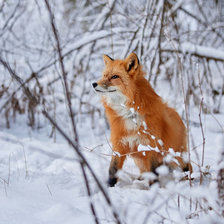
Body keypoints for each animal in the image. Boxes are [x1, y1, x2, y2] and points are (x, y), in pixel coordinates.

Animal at [92, 53, 192, 187]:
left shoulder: (151, 145)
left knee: (187, 167)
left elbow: (154, 172)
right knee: (145, 170)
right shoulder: (119, 143)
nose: (94, 84)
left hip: (177, 157)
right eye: (104, 75)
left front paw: (154, 188)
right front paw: (109, 186)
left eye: (115, 76)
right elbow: (113, 169)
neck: (129, 114)